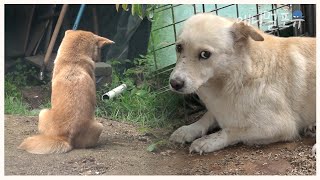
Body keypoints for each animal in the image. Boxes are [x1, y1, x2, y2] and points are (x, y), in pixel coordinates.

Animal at [169, 14, 316, 155]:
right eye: (179, 47)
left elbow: (231, 130)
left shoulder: (279, 126)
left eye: (205, 54)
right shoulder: (220, 109)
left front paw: (207, 141)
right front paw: (189, 129)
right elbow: (207, 116)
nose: (174, 83)